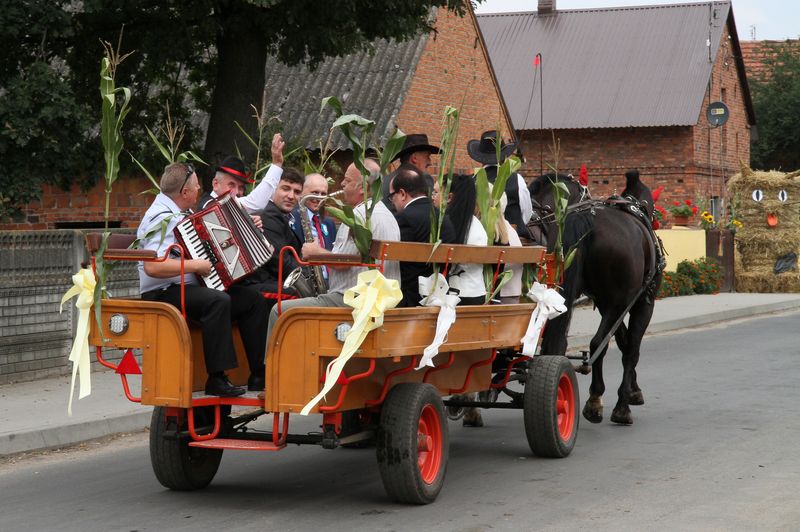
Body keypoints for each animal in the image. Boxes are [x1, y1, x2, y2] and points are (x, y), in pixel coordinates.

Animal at [528, 174, 660, 424]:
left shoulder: (604, 302)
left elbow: (622, 340)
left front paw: (633, 390)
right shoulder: (640, 302)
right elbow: (631, 347)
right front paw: (625, 402)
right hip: (620, 302)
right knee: (599, 342)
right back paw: (597, 400)